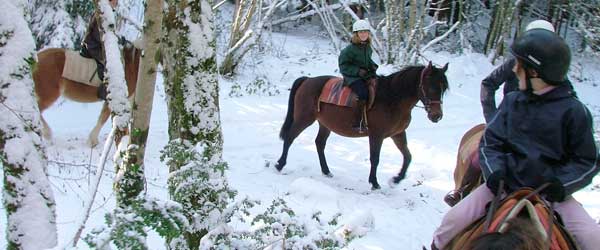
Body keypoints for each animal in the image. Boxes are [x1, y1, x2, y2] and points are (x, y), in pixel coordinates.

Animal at [274, 61, 448, 188]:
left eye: (443, 89)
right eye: (431, 87)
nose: (437, 116)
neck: (392, 98)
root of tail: (307, 80)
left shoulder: (398, 134)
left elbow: (408, 156)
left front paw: (397, 179)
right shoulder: (376, 135)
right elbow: (375, 158)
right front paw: (375, 183)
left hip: (325, 124)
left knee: (319, 143)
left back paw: (326, 171)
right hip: (304, 118)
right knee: (290, 137)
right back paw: (280, 164)